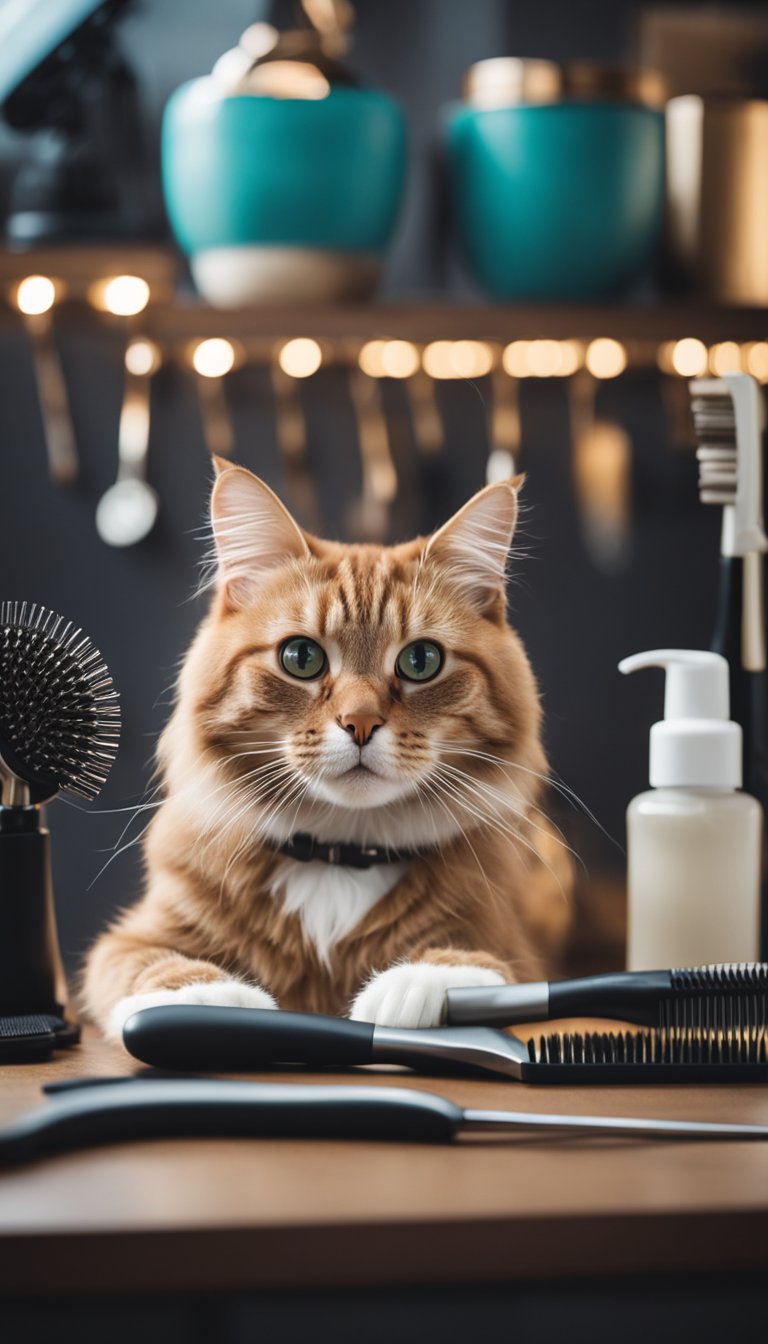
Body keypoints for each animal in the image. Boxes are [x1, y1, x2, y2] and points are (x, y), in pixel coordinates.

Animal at [85, 462, 570, 1037]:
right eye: (301, 657)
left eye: (421, 661)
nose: (360, 723)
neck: (339, 857)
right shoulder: (127, 939)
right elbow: (153, 966)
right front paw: (214, 999)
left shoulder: (514, 949)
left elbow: (474, 966)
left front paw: (407, 986)